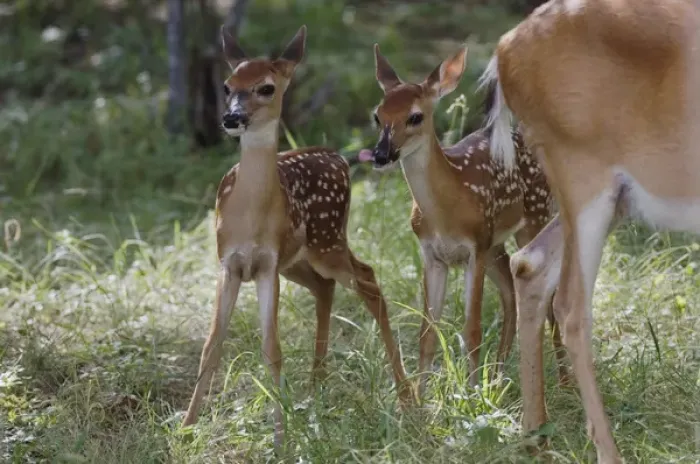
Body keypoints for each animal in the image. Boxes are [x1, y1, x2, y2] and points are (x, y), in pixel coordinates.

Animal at [181, 25, 413, 447]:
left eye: (266, 87)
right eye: (227, 85)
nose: (231, 117)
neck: (250, 214)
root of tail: (338, 157)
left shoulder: (267, 264)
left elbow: (272, 348)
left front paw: (279, 436)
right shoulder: (230, 263)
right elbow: (211, 345)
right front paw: (187, 427)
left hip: (328, 239)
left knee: (368, 279)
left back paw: (405, 397)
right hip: (300, 259)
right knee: (326, 287)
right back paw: (315, 390)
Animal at [357, 44, 569, 397]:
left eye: (415, 116)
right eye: (378, 115)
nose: (381, 154)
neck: (446, 209)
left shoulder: (475, 247)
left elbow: (472, 330)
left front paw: (469, 397)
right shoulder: (433, 255)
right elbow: (427, 334)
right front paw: (423, 398)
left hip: (532, 220)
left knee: (548, 298)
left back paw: (563, 382)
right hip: (496, 243)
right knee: (511, 293)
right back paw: (497, 377)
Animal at [478, 0, 700, 462]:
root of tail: (504, 51)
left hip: (611, 196)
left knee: (529, 264)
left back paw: (535, 437)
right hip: (583, 174)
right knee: (570, 306)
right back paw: (606, 450)